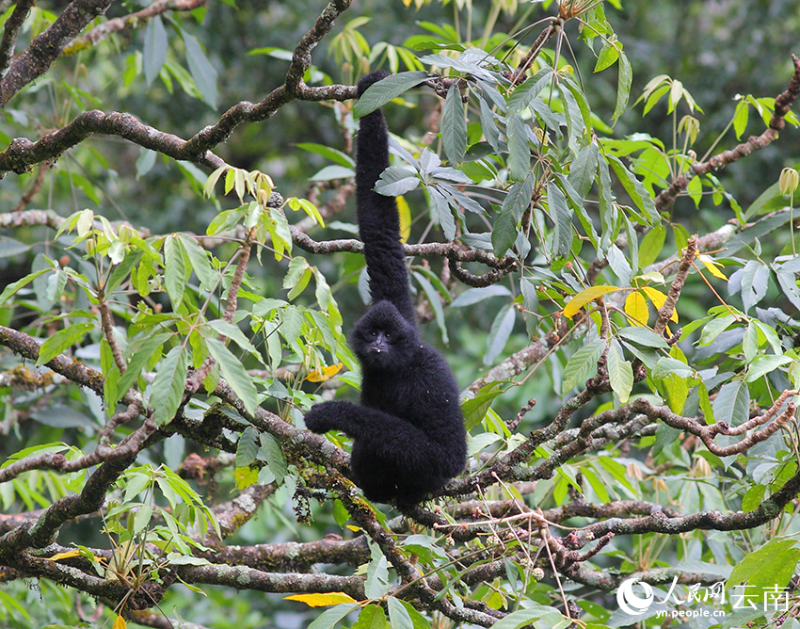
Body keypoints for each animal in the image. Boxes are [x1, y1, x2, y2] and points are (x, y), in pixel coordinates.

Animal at [304, 71, 467, 506]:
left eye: (389, 337)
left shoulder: (430, 380)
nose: (377, 344)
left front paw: (334, 414)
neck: (400, 367)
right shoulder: (396, 298)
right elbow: (379, 229)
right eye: (374, 332)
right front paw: (371, 91)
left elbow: (445, 455)